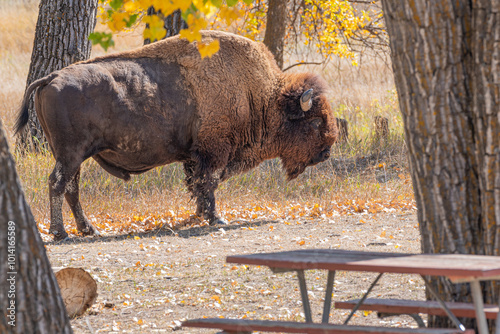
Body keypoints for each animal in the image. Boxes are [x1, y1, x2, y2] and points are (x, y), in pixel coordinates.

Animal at [15, 30, 336, 240]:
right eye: (314, 121)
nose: (327, 151)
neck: (261, 96)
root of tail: (52, 77)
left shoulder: (194, 156)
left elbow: (197, 184)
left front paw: (199, 214)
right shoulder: (214, 151)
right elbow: (209, 182)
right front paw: (215, 217)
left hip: (74, 156)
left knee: (71, 188)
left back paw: (88, 229)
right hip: (70, 154)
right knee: (58, 184)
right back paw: (61, 233)